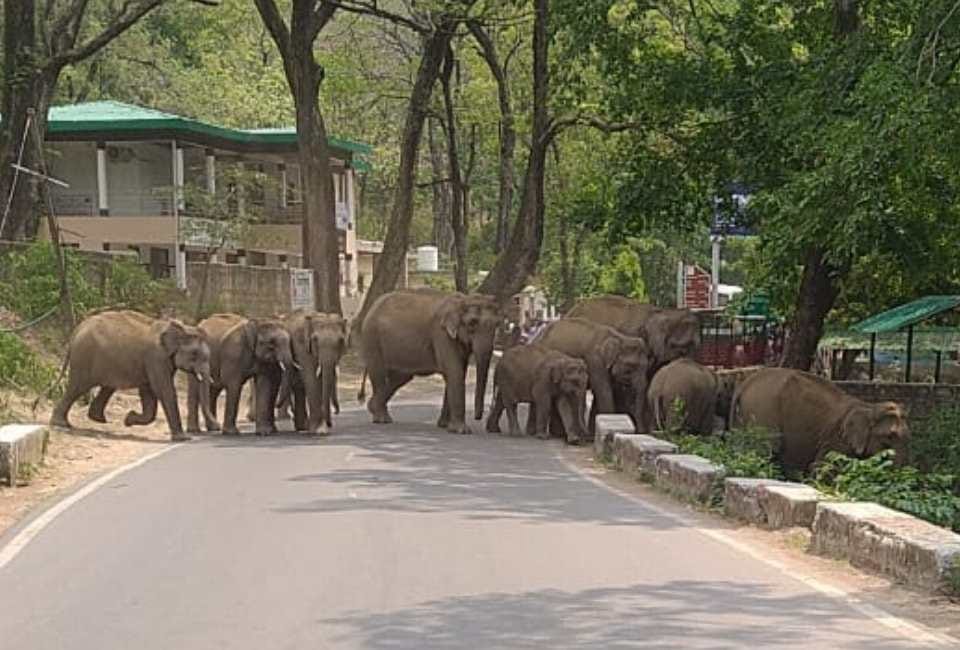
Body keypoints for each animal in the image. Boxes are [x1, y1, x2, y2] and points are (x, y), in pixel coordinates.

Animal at [50, 310, 212, 441]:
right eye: (194, 355)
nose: (214, 428)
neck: (180, 328)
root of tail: (77, 329)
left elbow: (148, 392)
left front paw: (128, 419)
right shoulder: (156, 358)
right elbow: (163, 390)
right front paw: (183, 438)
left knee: (106, 387)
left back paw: (98, 419)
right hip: (84, 357)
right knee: (78, 387)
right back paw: (61, 424)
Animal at [359, 288, 501, 434]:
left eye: (497, 324)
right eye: (472, 323)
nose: (478, 417)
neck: (463, 300)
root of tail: (373, 306)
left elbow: (457, 373)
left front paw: (444, 425)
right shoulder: (441, 334)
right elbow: (455, 372)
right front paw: (462, 431)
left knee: (401, 377)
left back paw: (373, 408)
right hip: (372, 338)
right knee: (379, 373)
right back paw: (381, 419)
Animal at [730, 367, 910, 472]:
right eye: (890, 436)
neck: (869, 407)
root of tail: (746, 382)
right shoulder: (836, 439)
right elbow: (822, 468)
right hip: (763, 411)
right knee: (766, 449)